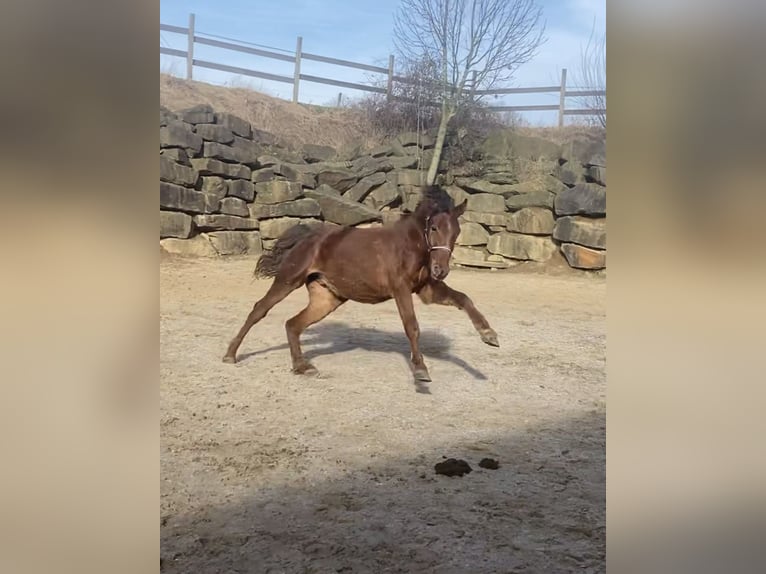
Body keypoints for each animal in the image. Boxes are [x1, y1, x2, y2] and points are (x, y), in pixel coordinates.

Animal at [224, 187, 498, 384]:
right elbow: (412, 326)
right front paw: (420, 370)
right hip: (288, 280)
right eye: (433, 227)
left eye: (456, 232)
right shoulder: (400, 289)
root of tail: (308, 236)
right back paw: (230, 355)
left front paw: (489, 336)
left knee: (293, 324)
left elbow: (463, 298)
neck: (410, 247)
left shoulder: (426, 290)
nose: (441, 270)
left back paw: (303, 367)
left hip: (327, 299)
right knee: (259, 310)